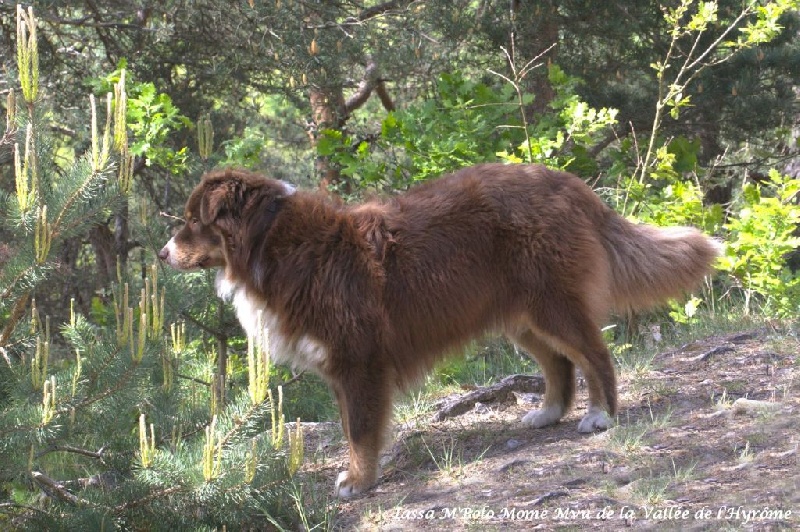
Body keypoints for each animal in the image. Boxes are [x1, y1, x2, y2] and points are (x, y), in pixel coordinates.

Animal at [156, 164, 720, 496]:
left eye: (193, 220)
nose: (161, 253)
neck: (271, 242)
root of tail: (570, 183)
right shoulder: (341, 368)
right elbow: (352, 427)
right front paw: (360, 476)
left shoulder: (358, 362)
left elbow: (359, 430)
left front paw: (359, 482)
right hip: (519, 316)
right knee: (560, 362)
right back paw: (549, 413)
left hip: (553, 305)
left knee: (595, 354)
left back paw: (601, 415)